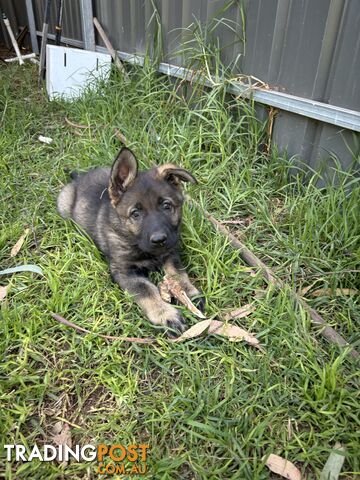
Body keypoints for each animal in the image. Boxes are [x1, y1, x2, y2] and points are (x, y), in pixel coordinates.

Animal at [57, 148, 204, 336]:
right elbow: (146, 290)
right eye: (135, 214)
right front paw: (166, 314)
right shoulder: (124, 271)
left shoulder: (171, 252)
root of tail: (79, 177)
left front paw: (188, 293)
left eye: (166, 206)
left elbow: (177, 273)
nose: (159, 240)